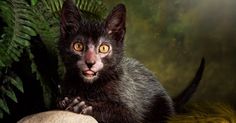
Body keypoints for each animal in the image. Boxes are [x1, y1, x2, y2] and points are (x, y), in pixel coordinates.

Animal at [57, 0, 205, 122]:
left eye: (104, 48)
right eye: (78, 46)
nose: (90, 63)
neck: (89, 87)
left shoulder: (132, 109)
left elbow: (124, 113)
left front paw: (83, 105)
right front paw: (64, 102)